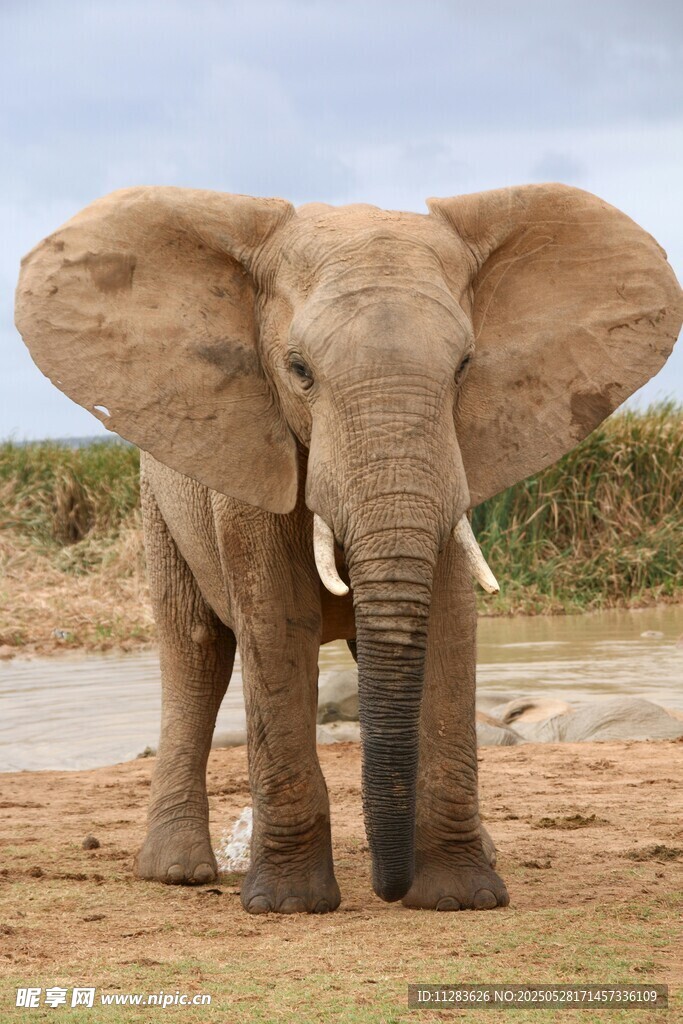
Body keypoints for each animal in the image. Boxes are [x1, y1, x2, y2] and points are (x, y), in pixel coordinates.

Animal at [15, 184, 681, 915]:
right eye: (298, 371)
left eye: (464, 367)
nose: (392, 891)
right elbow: (276, 626)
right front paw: (288, 906)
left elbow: (447, 621)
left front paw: (460, 896)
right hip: (156, 496)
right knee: (195, 650)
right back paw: (179, 872)